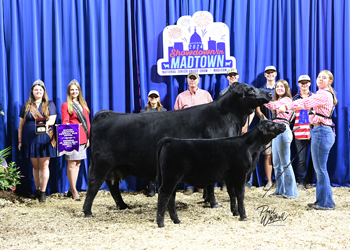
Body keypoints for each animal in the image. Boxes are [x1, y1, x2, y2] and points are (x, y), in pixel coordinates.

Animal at [83, 82, 272, 217]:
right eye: (250, 90)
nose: (270, 93)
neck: (227, 118)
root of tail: (106, 114)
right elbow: (211, 185)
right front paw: (214, 203)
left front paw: (207, 201)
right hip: (102, 163)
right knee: (94, 184)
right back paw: (88, 211)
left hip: (114, 167)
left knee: (112, 185)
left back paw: (123, 206)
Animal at [157, 120, 288, 228]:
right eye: (272, 124)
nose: (284, 125)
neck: (250, 148)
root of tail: (169, 140)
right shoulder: (240, 174)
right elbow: (240, 195)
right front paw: (243, 216)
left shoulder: (230, 177)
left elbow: (232, 194)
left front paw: (235, 212)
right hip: (171, 177)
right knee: (164, 194)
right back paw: (161, 223)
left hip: (172, 179)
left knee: (171, 197)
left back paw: (176, 220)